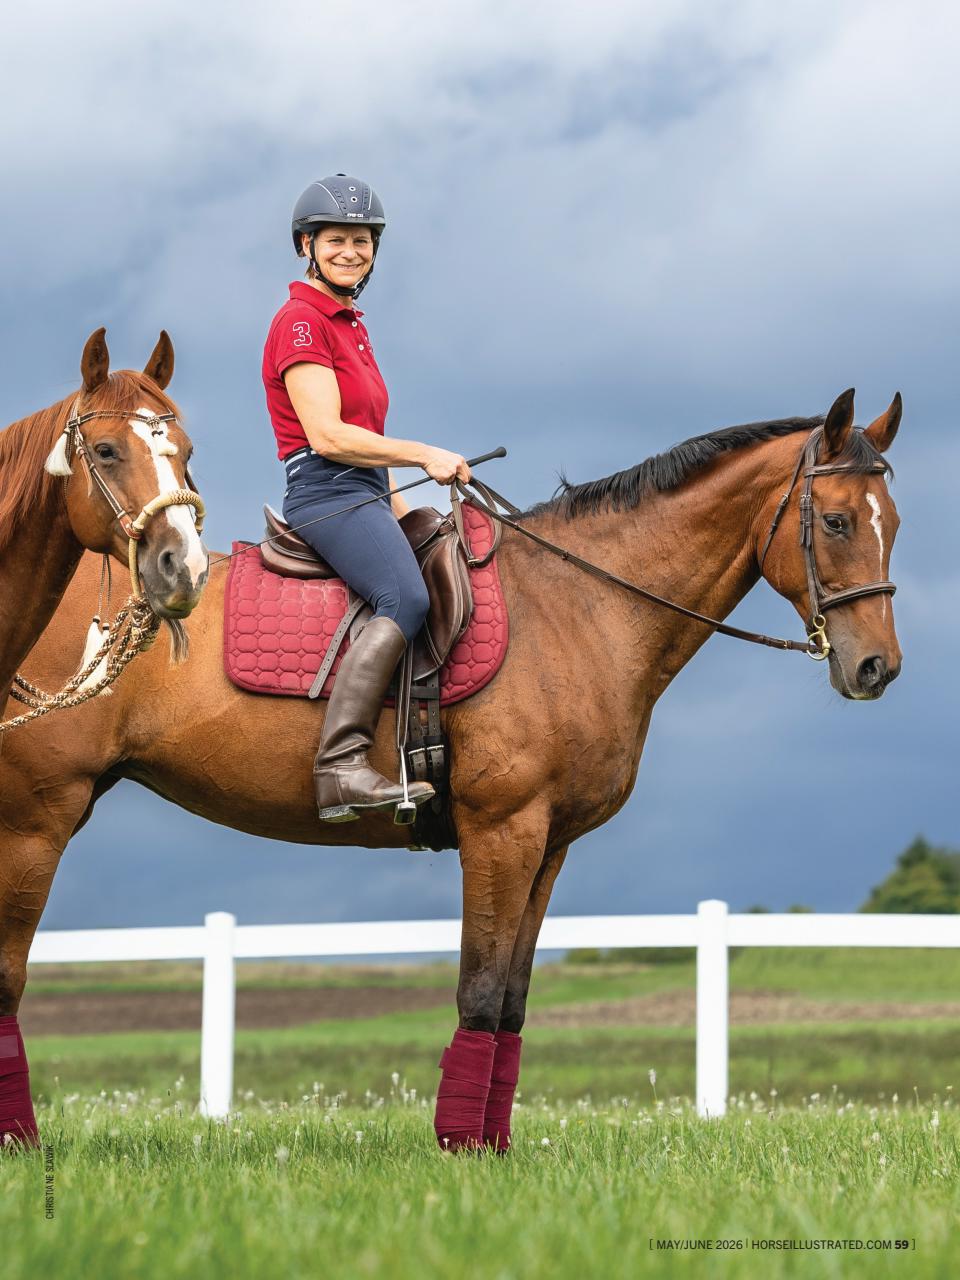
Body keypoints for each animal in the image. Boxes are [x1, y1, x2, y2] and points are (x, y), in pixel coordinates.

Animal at [0, 387, 901, 1151]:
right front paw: (462, 1149)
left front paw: (491, 1147)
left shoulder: (548, 846)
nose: (877, 669)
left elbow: (511, 1000)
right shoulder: (502, 831)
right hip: (37, 819)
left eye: (891, 521)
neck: (579, 607)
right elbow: (479, 989)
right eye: (836, 522)